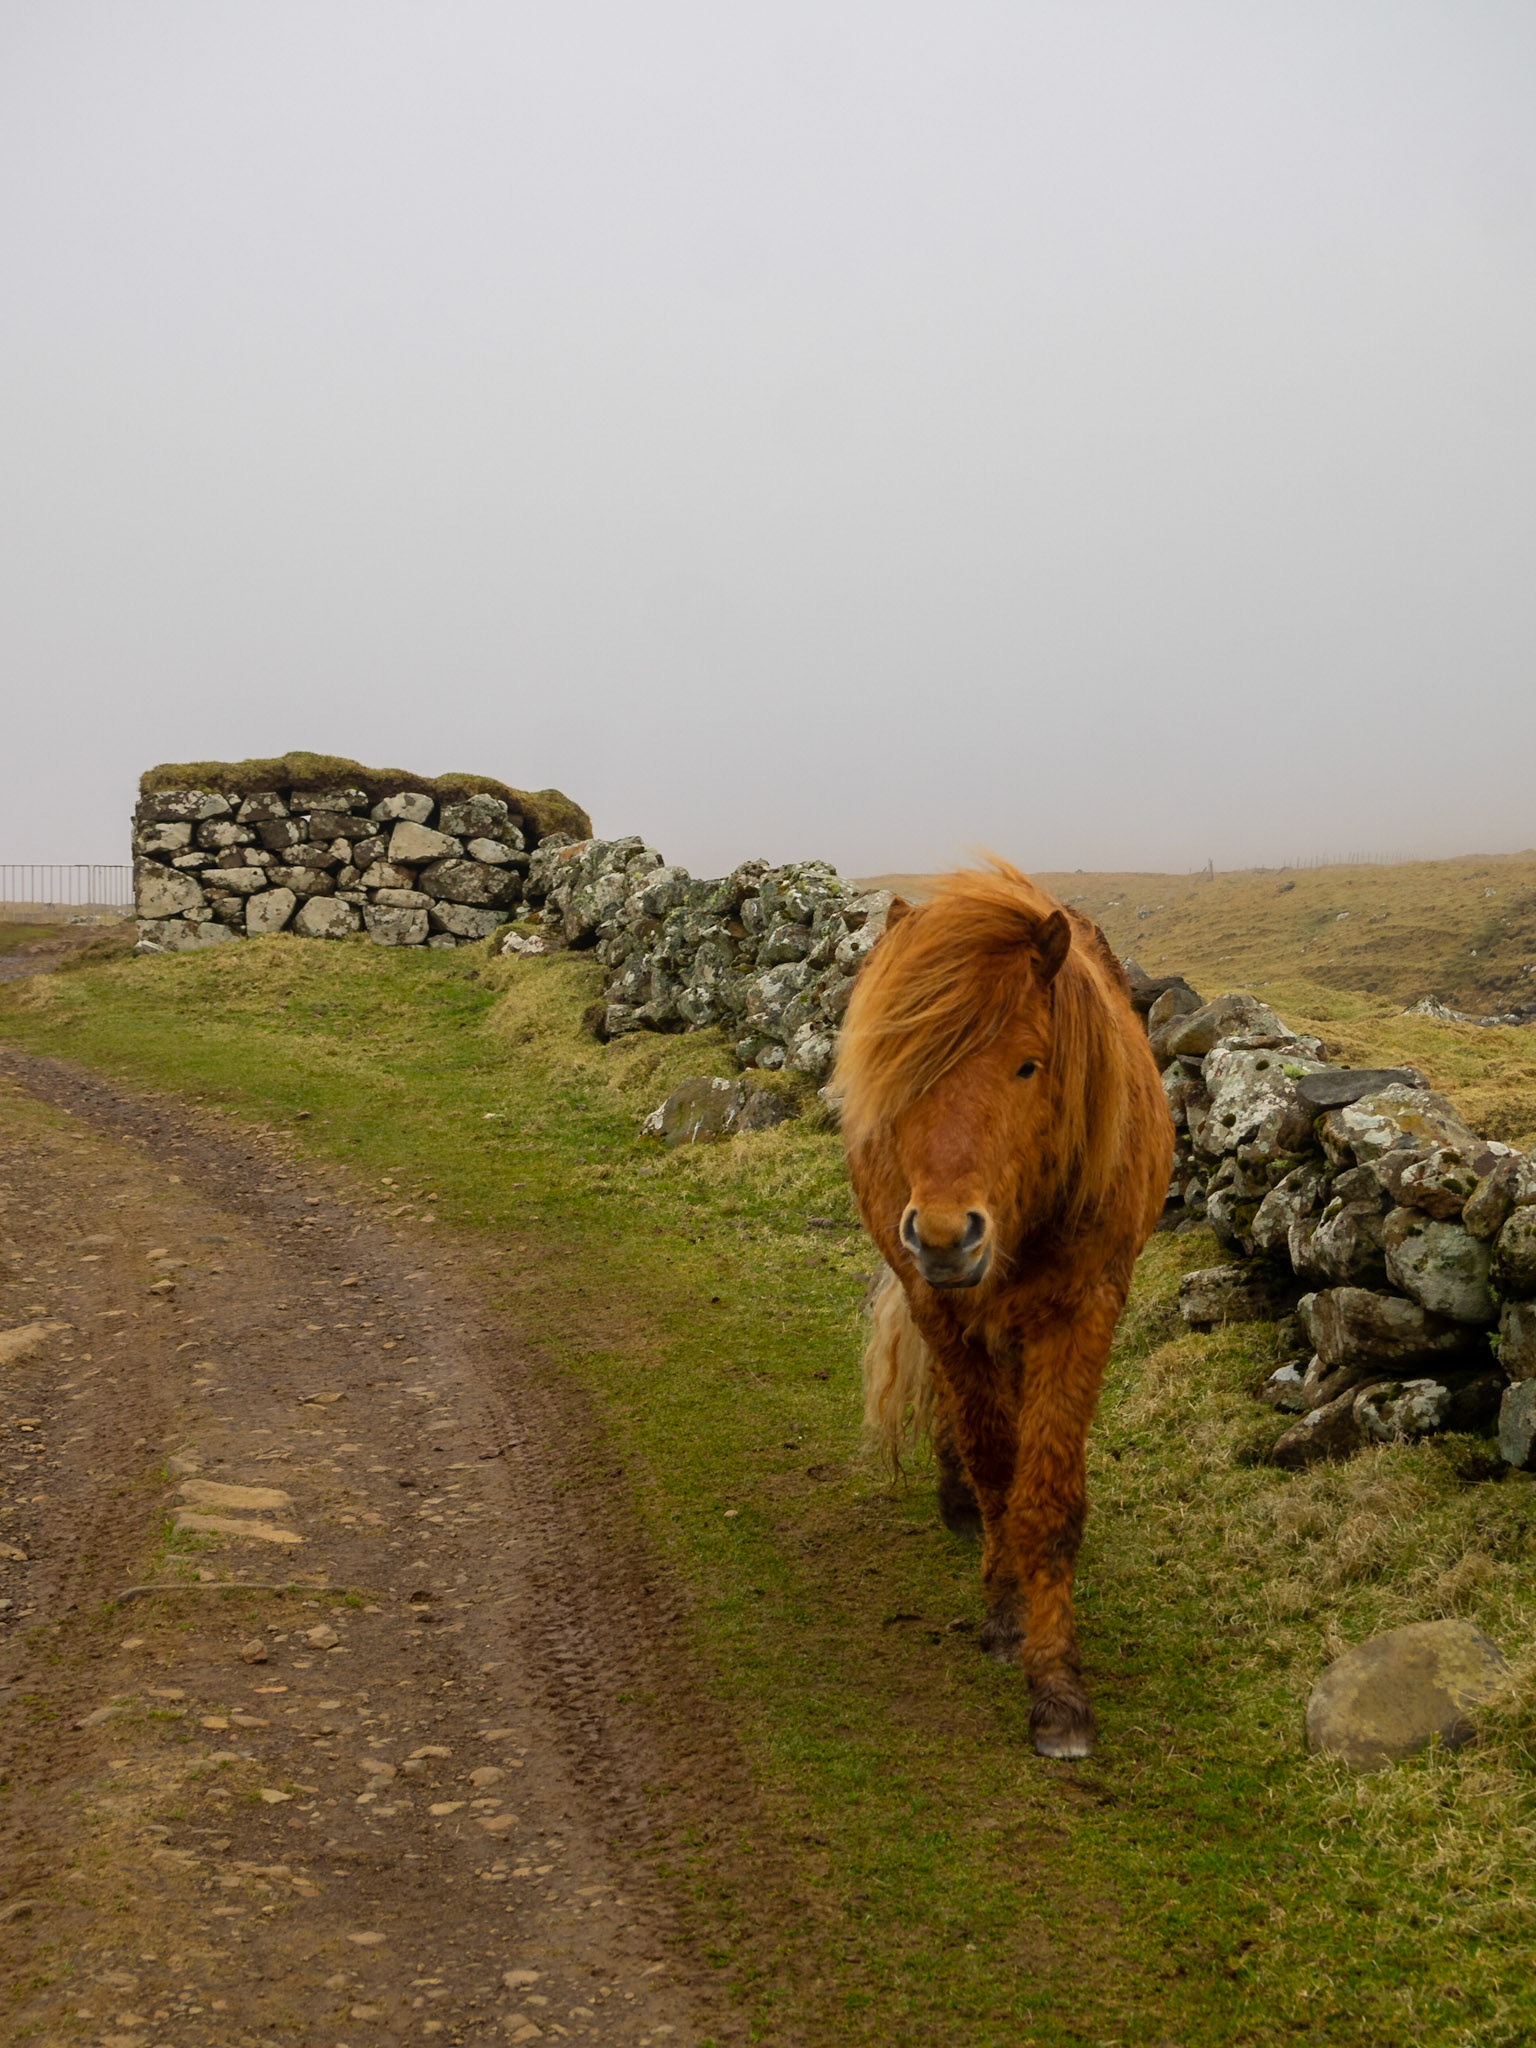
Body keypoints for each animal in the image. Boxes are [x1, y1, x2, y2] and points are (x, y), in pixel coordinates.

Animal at [834, 860, 1173, 1759]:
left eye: (1028, 1066)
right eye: (905, 1067)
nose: (947, 1235)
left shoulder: (1083, 1311)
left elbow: (1046, 1497)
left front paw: (1057, 1687)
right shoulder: (943, 1308)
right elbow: (994, 1463)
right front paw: (1005, 1611)